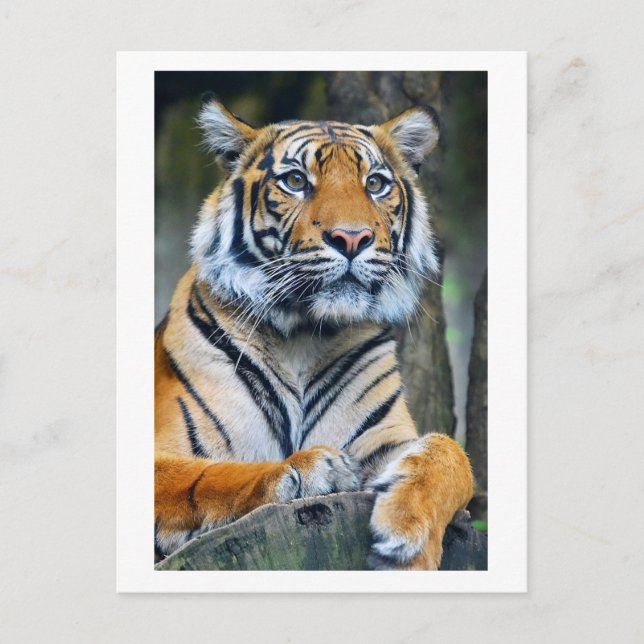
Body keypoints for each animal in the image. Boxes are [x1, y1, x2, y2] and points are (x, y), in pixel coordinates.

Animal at [154, 97, 474, 570]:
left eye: (375, 184)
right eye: (295, 181)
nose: (352, 237)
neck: (303, 336)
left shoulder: (385, 441)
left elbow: (451, 455)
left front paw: (409, 537)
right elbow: (207, 474)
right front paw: (309, 469)